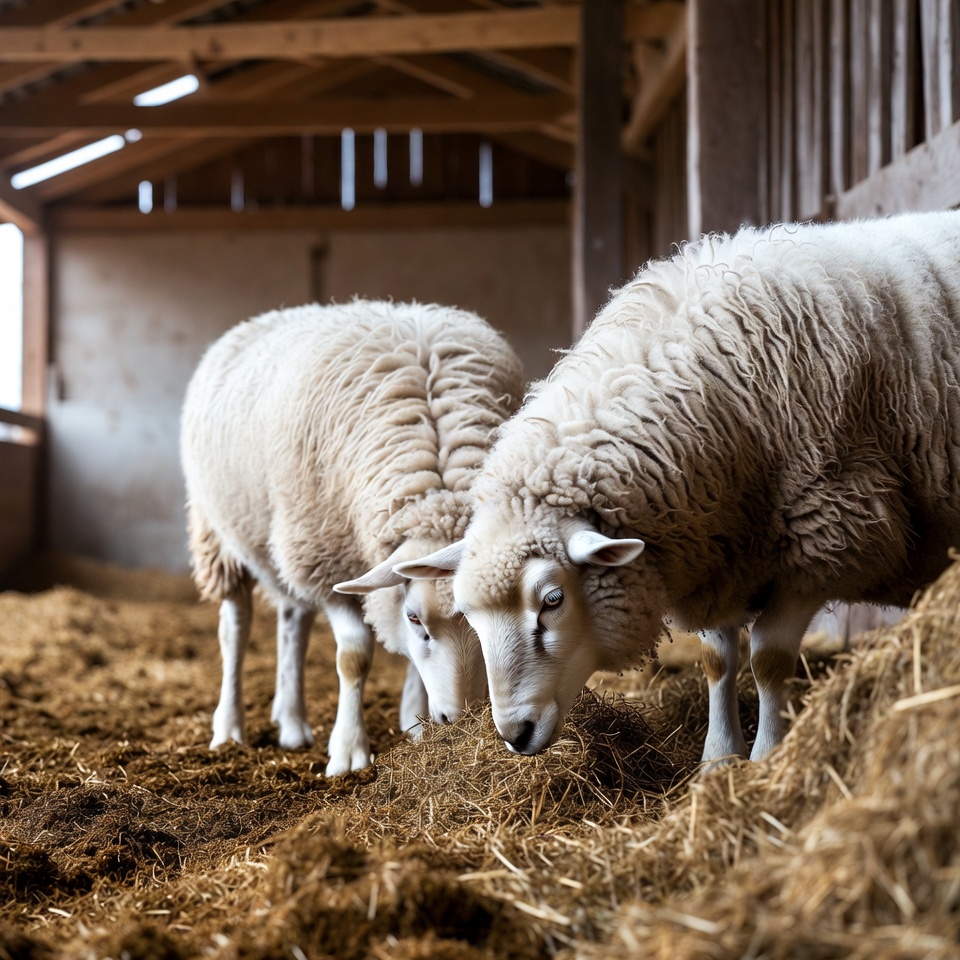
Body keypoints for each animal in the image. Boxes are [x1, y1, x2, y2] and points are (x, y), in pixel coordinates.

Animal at [180, 299, 524, 776]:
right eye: (415, 620)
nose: (458, 721)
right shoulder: (330, 562)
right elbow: (354, 658)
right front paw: (348, 752)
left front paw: (415, 725)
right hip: (223, 532)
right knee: (235, 628)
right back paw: (229, 729)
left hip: (289, 542)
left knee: (293, 620)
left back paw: (291, 722)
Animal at [396, 211, 960, 766]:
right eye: (468, 615)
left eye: (553, 600)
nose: (515, 734)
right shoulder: (711, 547)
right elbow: (716, 660)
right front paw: (717, 757)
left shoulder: (831, 539)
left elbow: (769, 659)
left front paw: (764, 758)